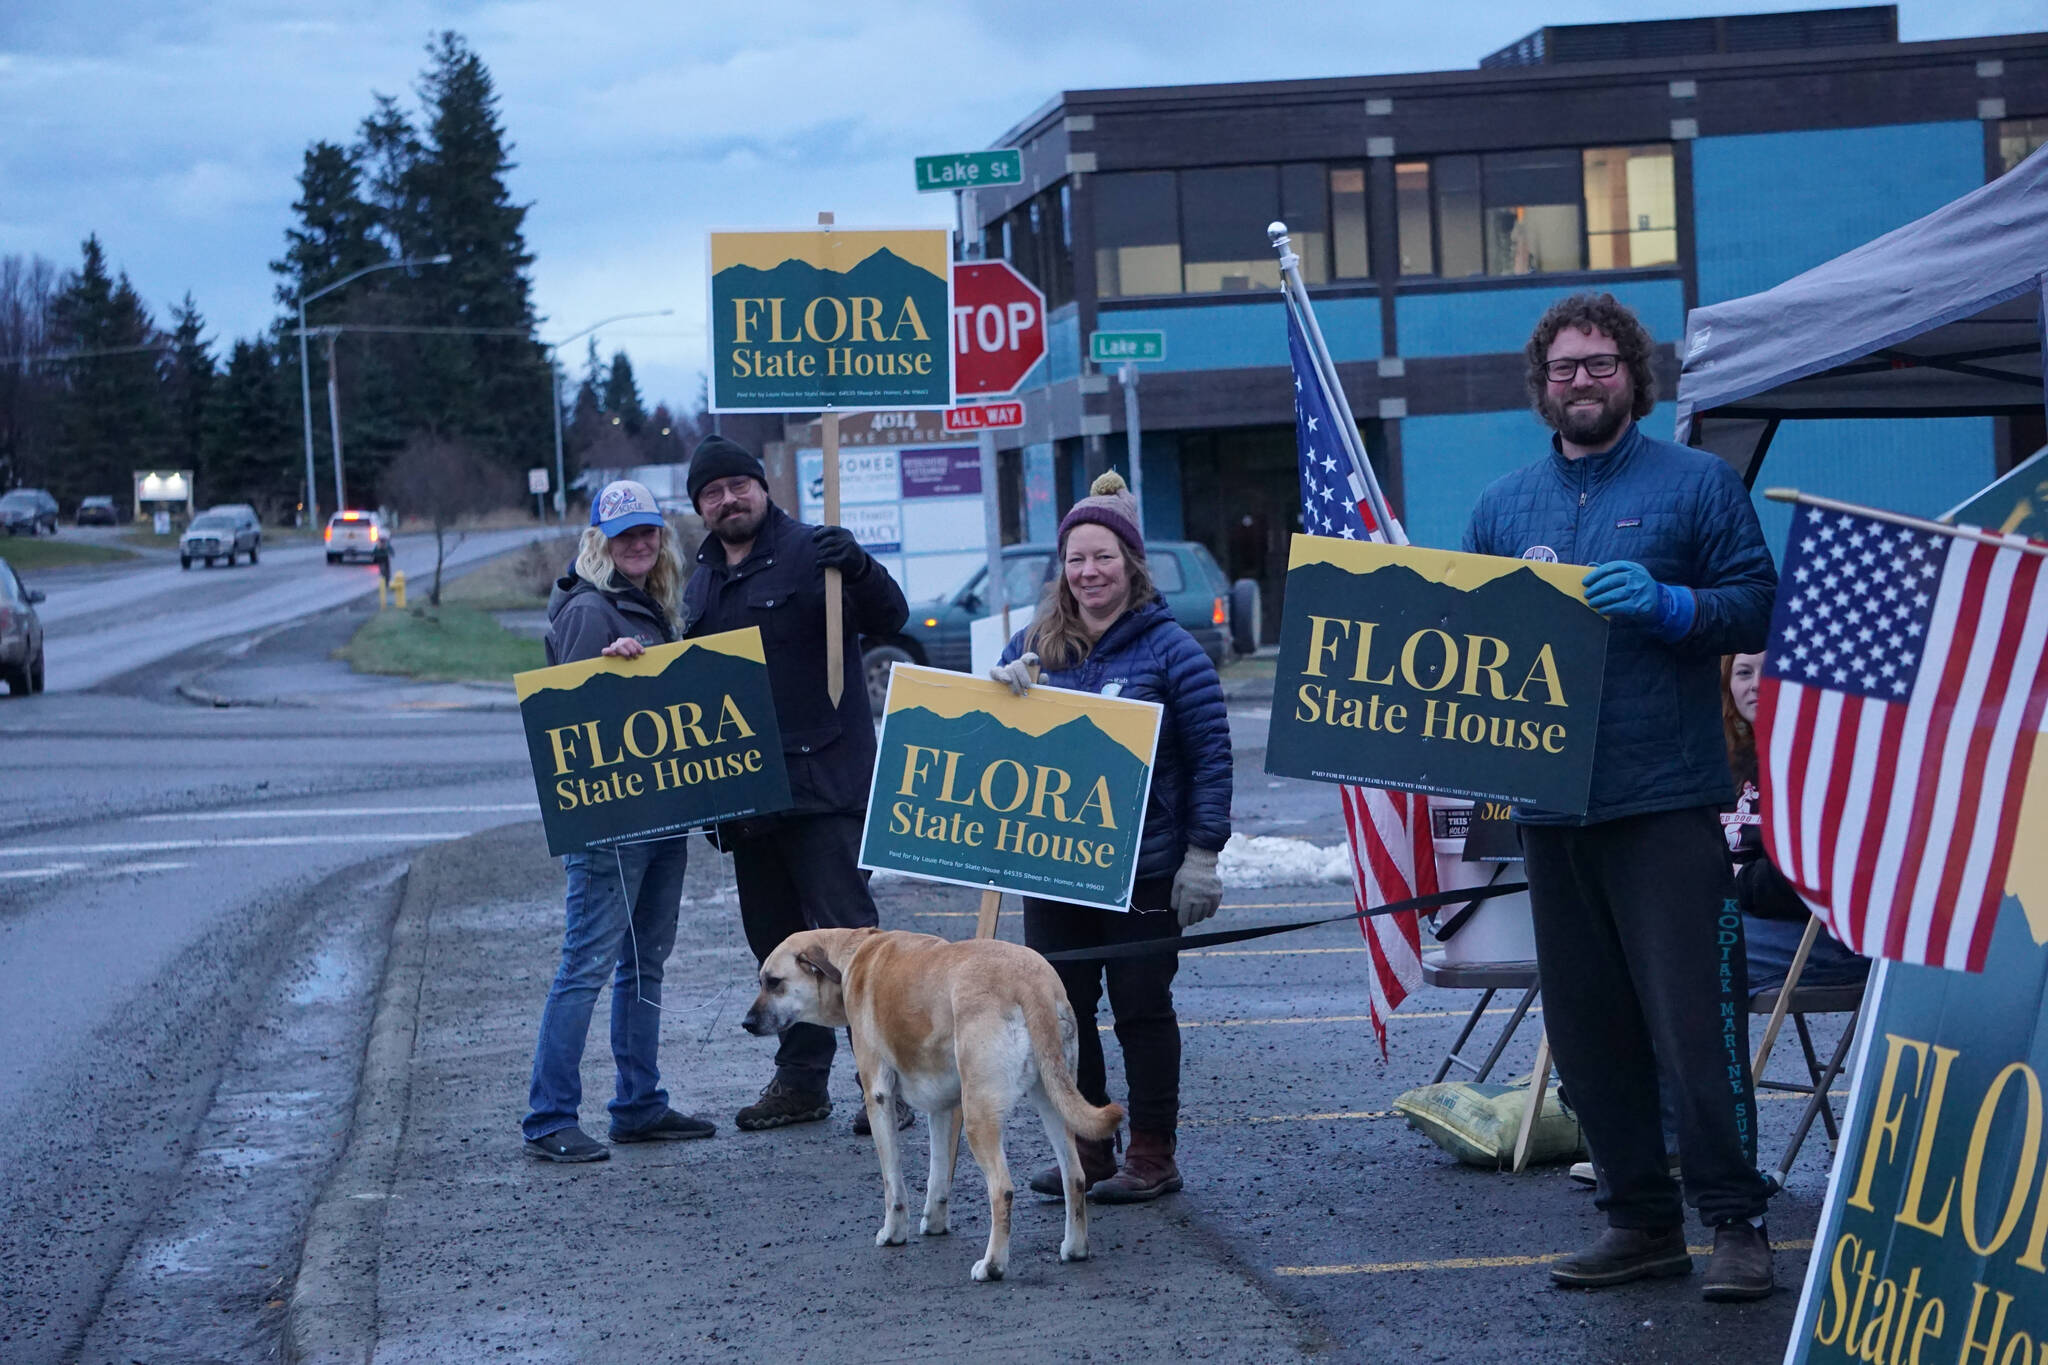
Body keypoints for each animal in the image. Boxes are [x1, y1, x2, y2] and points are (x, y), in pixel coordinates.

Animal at [737, 929, 1122, 1285]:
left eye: (773, 982)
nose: (746, 1024)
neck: (852, 954)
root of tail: (1029, 982)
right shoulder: (943, 1108)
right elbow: (938, 1173)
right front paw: (935, 1222)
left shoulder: (878, 1098)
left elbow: (893, 1183)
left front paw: (893, 1233)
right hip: (1053, 1100)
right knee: (1075, 1176)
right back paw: (1075, 1249)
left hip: (979, 1113)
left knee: (1002, 1189)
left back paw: (993, 1265)